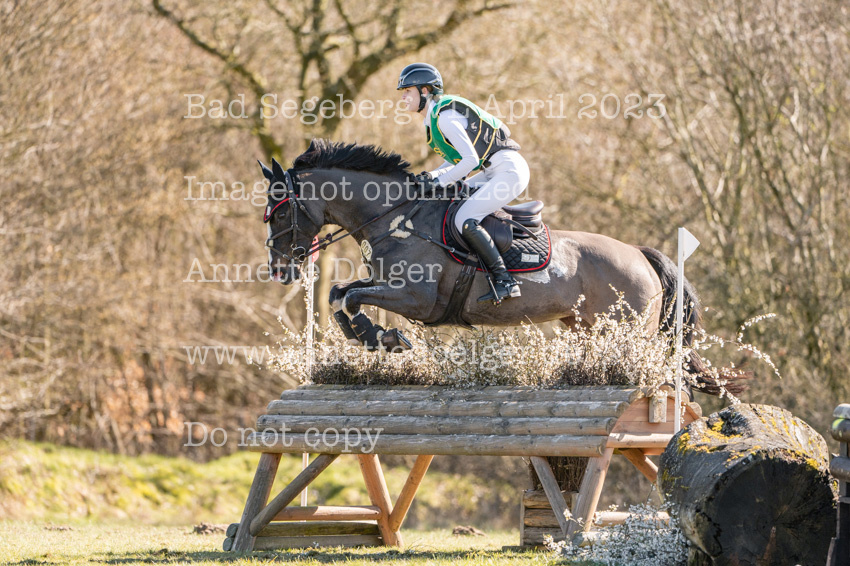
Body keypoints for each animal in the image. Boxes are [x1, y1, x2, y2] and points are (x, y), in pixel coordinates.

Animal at [260, 139, 742, 395]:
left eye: (279, 213)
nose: (280, 271)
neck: (396, 218)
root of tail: (640, 253)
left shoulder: (417, 299)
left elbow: (352, 297)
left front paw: (387, 338)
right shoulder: (387, 285)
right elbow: (341, 294)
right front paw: (373, 337)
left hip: (627, 328)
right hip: (585, 326)